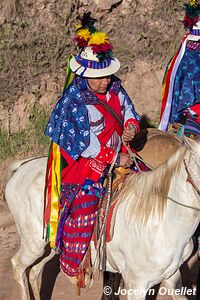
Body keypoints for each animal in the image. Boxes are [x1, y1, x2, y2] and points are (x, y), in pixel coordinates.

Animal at [4, 137, 200, 300]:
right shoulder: (136, 285)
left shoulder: (172, 277)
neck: (162, 221)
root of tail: (22, 167)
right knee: (18, 266)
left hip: (51, 246)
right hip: (34, 244)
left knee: (34, 272)